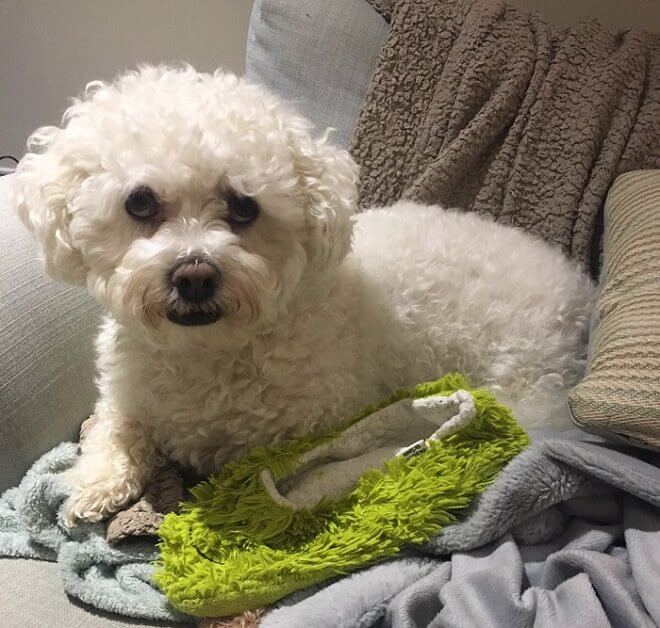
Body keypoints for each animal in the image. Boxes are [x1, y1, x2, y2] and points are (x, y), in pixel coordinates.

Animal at [10, 66, 596, 524]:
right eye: (139, 202)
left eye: (244, 206)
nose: (195, 275)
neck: (206, 352)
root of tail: (579, 287)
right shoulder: (127, 396)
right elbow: (113, 430)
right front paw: (96, 483)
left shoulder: (303, 430)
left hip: (527, 382)